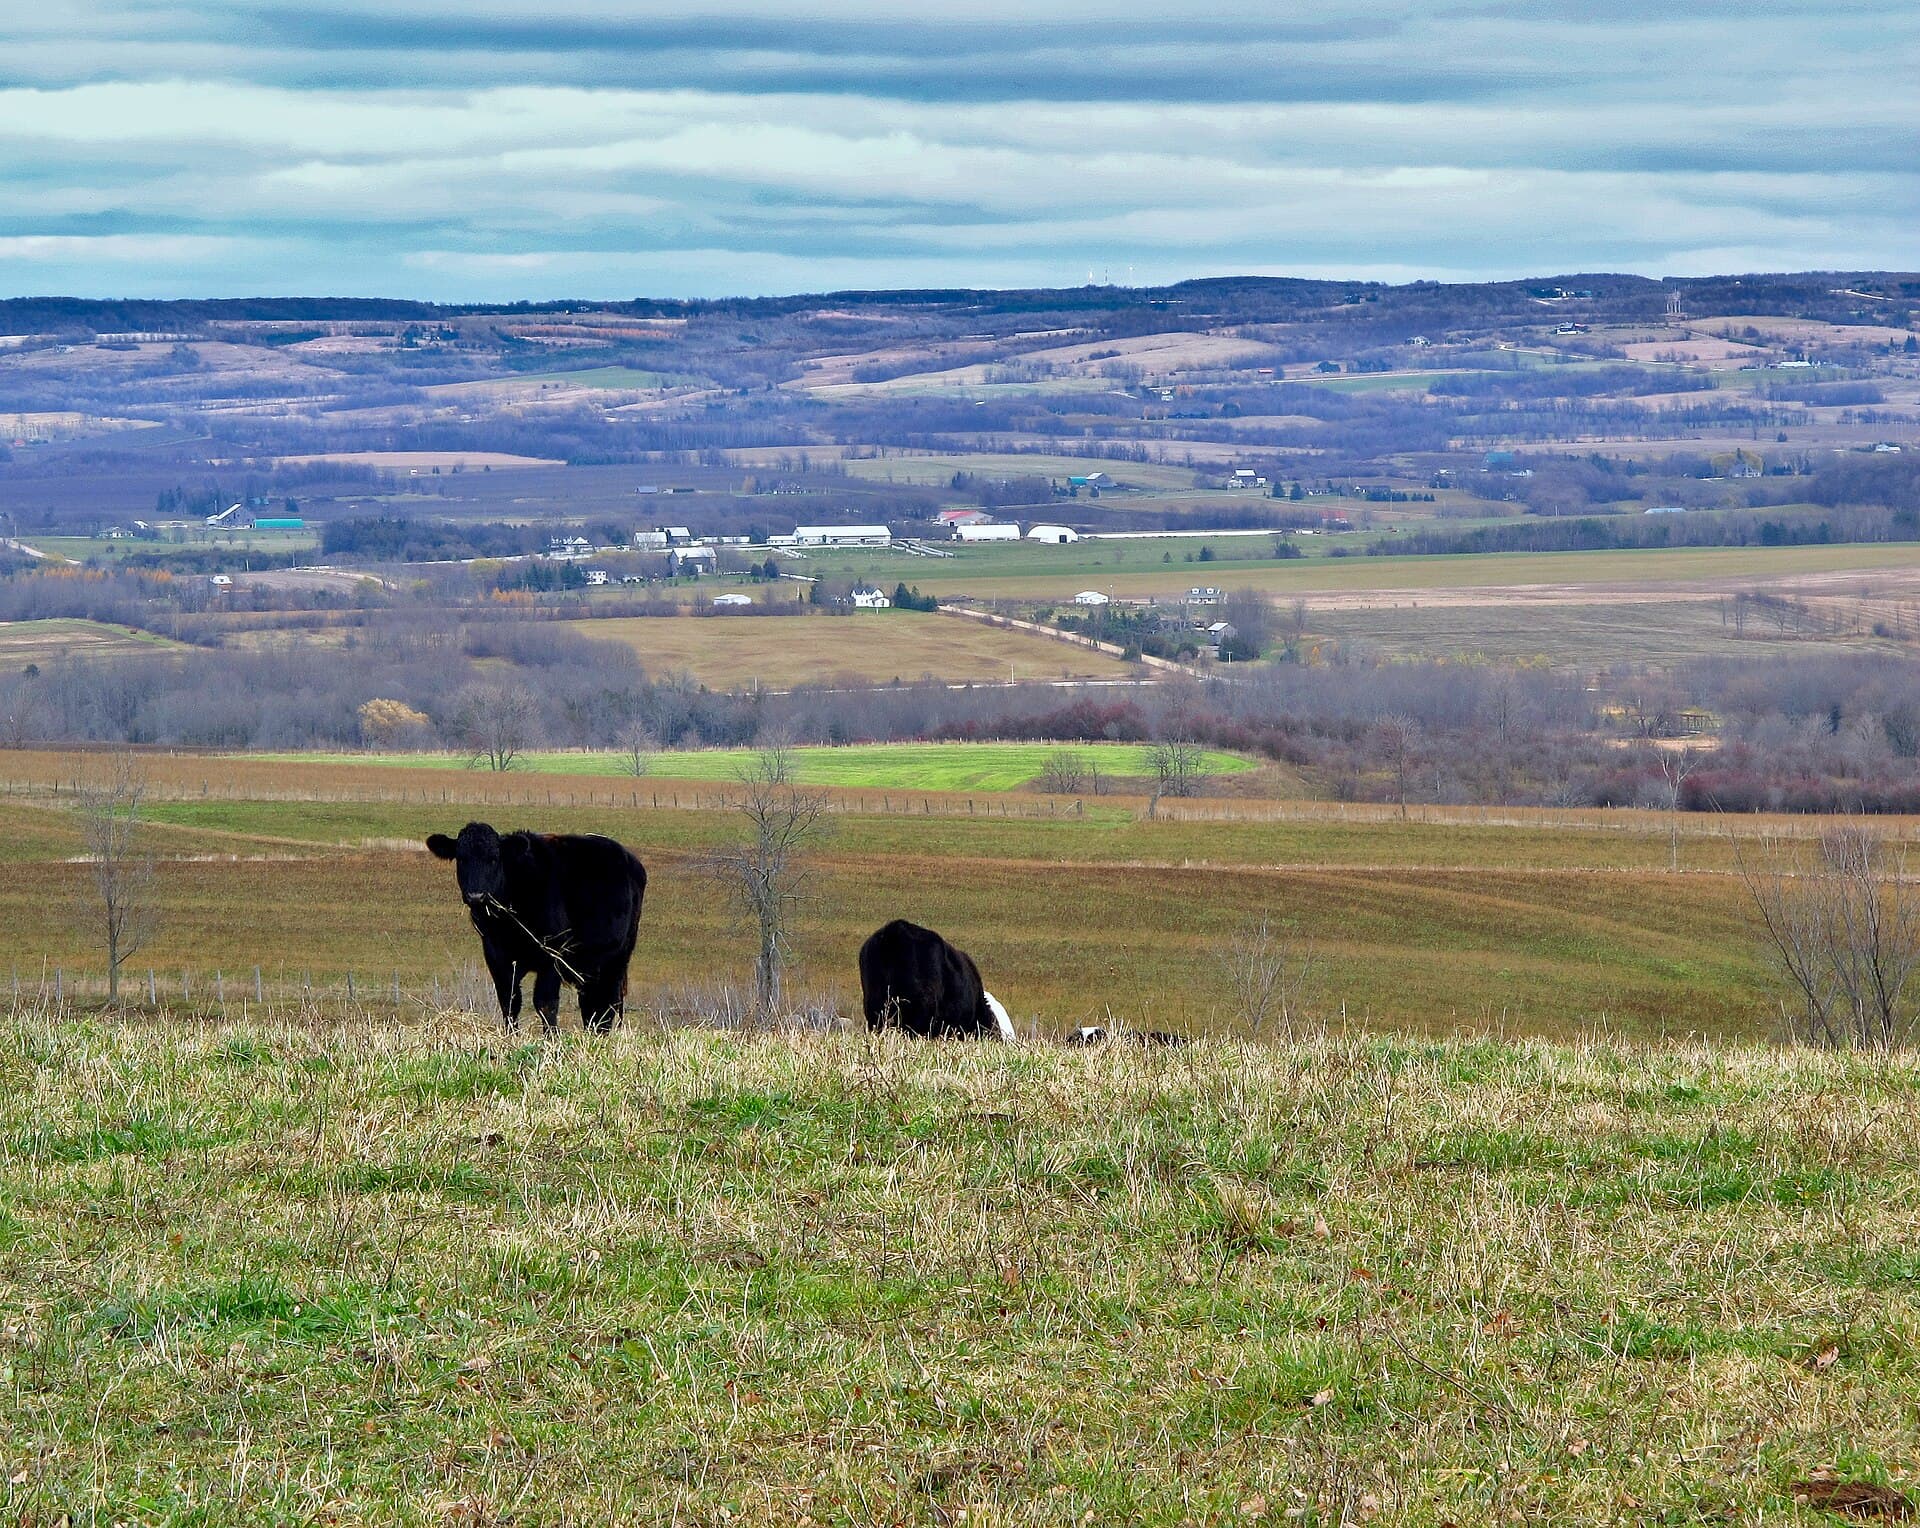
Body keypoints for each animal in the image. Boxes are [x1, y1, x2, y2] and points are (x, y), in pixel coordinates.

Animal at [426, 822, 647, 1033]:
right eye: (462, 859)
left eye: (494, 859)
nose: (476, 896)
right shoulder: (496, 956)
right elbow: (509, 1002)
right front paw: (511, 1037)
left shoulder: (552, 956)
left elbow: (545, 1004)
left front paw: (552, 1039)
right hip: (589, 965)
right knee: (591, 1005)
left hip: (617, 958)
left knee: (608, 1004)